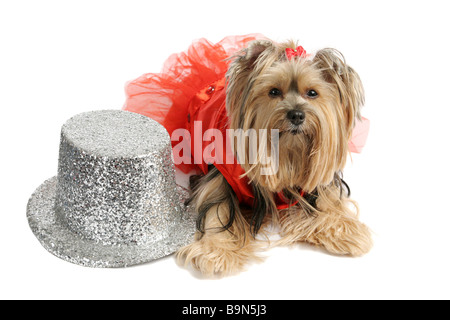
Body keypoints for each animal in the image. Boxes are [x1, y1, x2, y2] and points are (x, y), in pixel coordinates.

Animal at [173, 39, 372, 276]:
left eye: (312, 93)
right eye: (274, 91)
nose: (296, 115)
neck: (287, 153)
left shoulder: (318, 183)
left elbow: (327, 201)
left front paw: (345, 230)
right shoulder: (219, 176)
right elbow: (215, 209)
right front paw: (218, 252)